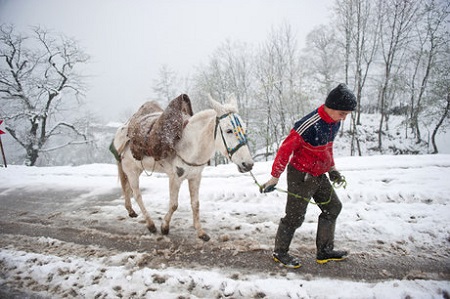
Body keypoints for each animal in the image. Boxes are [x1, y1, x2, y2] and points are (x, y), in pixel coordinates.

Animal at [110, 95, 253, 243]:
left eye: (244, 129)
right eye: (228, 130)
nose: (248, 164)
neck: (189, 144)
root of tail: (123, 129)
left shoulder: (195, 177)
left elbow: (195, 204)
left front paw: (201, 232)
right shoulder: (175, 178)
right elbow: (174, 204)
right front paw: (164, 227)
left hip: (136, 169)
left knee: (127, 188)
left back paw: (131, 211)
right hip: (131, 170)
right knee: (137, 195)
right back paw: (150, 224)